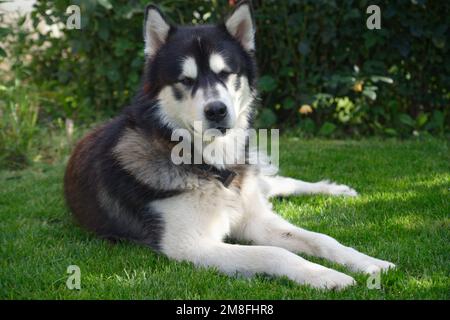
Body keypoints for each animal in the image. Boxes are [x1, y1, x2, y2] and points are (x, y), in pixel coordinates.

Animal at [63, 0, 394, 290]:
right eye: (185, 80)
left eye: (225, 73)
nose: (216, 111)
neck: (212, 166)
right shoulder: (190, 245)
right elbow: (275, 252)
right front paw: (326, 276)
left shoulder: (254, 220)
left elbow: (323, 238)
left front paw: (369, 263)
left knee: (280, 183)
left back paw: (335, 189)